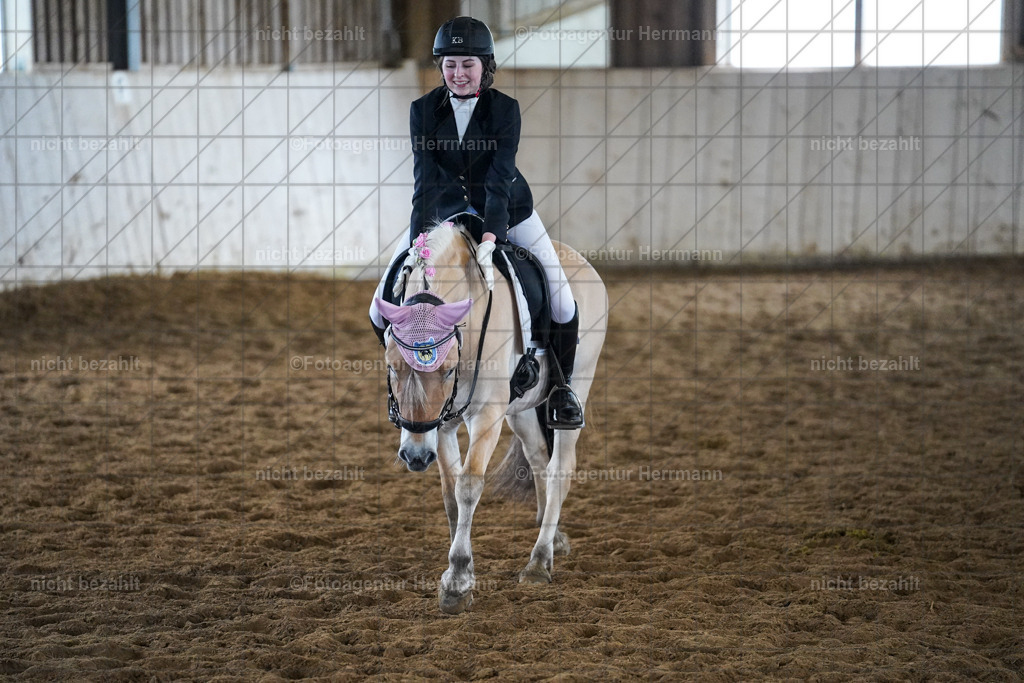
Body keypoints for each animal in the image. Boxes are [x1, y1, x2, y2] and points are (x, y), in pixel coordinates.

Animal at [374, 221, 607, 614]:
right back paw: (553, 537)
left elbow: (468, 486)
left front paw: (457, 581)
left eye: (447, 370)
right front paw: (461, 567)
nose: (416, 456)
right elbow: (450, 493)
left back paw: (538, 562)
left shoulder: (487, 416)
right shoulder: (443, 423)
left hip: (579, 383)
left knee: (560, 468)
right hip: (523, 410)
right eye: (392, 367)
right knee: (539, 460)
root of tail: (578, 257)